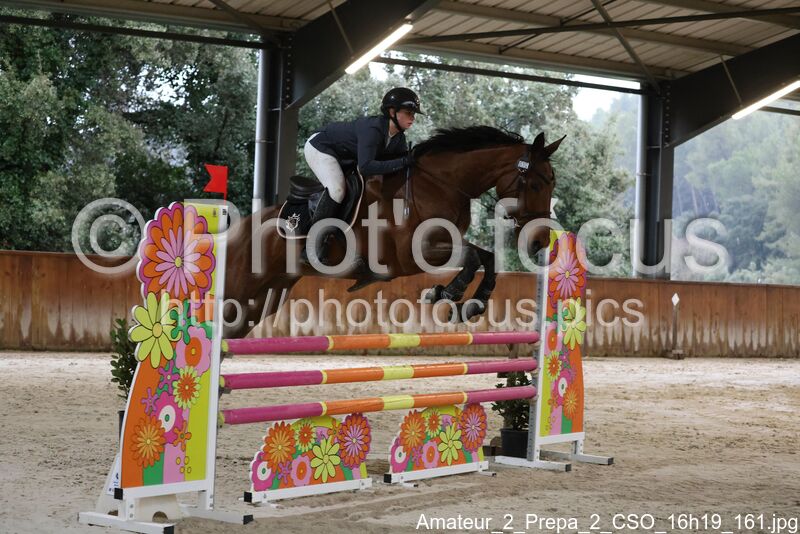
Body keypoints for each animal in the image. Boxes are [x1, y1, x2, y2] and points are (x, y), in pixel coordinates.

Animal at [223, 126, 563, 339]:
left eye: (552, 183)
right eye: (535, 184)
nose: (540, 241)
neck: (439, 184)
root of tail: (240, 229)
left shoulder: (444, 241)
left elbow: (487, 257)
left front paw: (472, 304)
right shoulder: (414, 253)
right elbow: (471, 257)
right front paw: (446, 293)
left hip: (267, 296)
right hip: (242, 287)